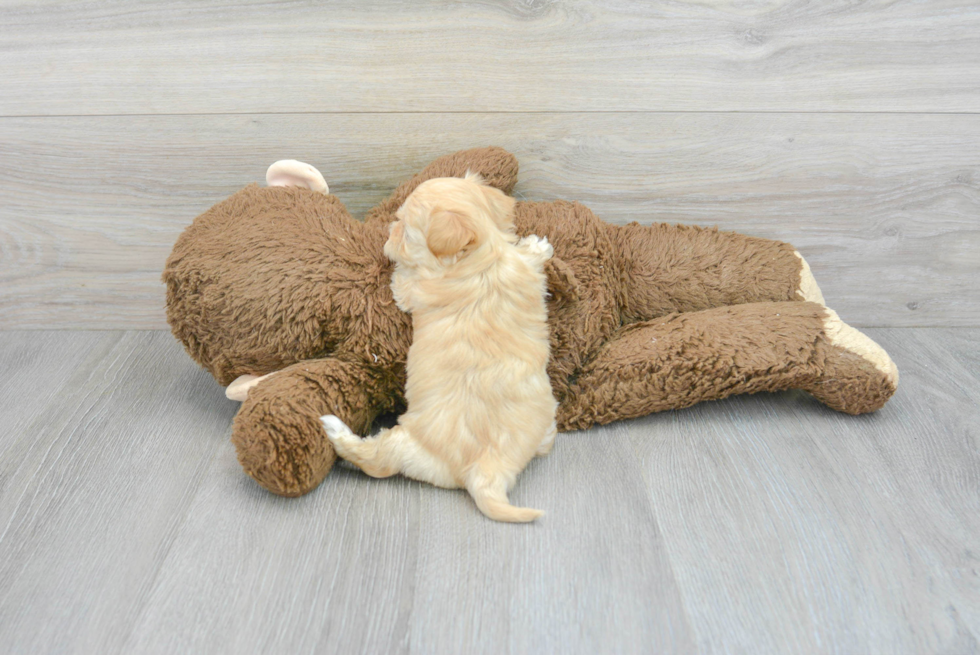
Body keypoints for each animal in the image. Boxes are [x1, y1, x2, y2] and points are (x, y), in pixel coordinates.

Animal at [320, 173, 556, 524]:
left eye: (404, 229)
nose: (389, 232)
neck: (484, 257)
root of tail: (488, 471)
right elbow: (530, 258)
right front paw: (537, 246)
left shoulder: (414, 289)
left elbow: (402, 280)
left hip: (405, 447)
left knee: (377, 461)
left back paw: (336, 431)